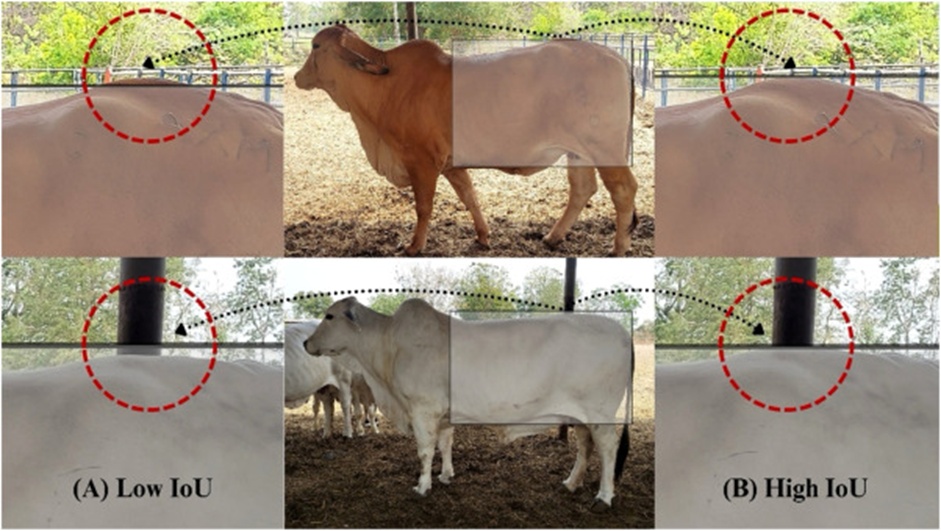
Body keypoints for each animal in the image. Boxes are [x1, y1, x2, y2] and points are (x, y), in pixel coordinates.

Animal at [294, 25, 638, 256]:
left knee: (623, 190)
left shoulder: (421, 162)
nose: (297, 76)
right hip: (578, 151)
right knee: (582, 189)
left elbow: (424, 206)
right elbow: (469, 196)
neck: (385, 85)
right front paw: (483, 236)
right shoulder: (450, 164)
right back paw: (553, 236)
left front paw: (414, 245)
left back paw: (619, 247)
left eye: (315, 46)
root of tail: (617, 58)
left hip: (602, 147)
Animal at [303, 297, 633, 508]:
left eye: (330, 316)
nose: (306, 342)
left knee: (607, 447)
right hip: (580, 416)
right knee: (585, 446)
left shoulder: (423, 409)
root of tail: (622, 332)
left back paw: (604, 497)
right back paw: (571, 483)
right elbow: (445, 444)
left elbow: (425, 451)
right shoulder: (443, 413)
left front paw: (422, 486)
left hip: (599, 412)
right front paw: (446, 475)